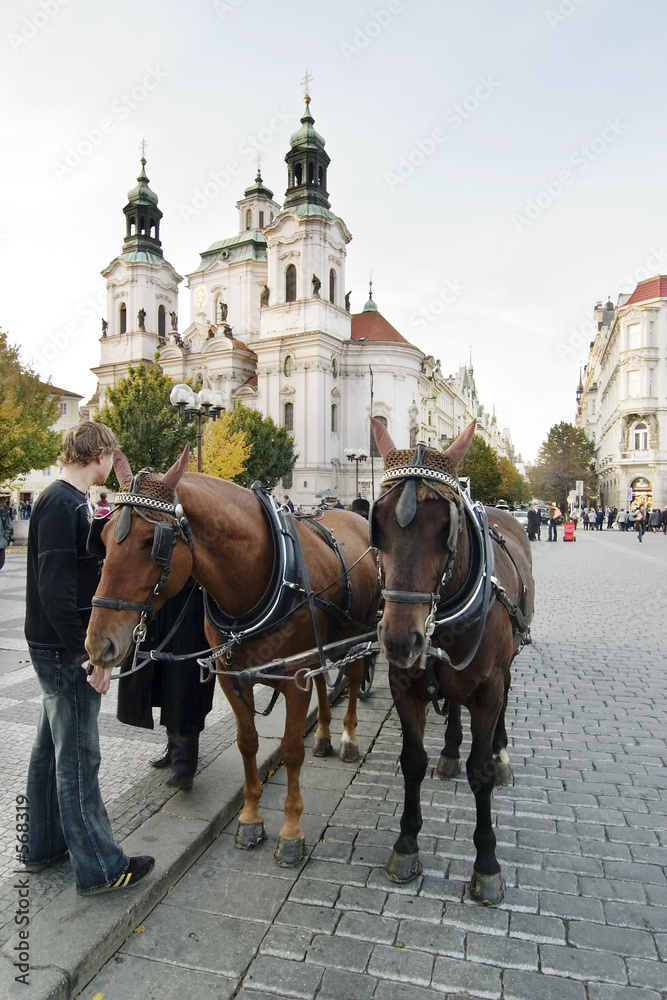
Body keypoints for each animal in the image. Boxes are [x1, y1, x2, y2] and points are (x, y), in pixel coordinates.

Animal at [85, 450, 380, 864]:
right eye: (103, 537)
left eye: (150, 541)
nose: (99, 644)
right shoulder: (232, 677)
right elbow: (248, 744)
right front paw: (251, 819)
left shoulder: (294, 678)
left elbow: (291, 751)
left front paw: (291, 832)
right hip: (321, 649)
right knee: (324, 683)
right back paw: (322, 735)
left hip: (360, 633)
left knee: (353, 680)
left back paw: (348, 739)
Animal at [368, 418, 536, 904]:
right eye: (377, 524)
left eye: (447, 527)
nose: (401, 639)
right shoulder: (406, 687)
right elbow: (412, 761)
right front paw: (406, 845)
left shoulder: (487, 690)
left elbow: (480, 772)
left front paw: (487, 865)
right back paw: (449, 751)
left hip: (506, 667)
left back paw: (500, 751)